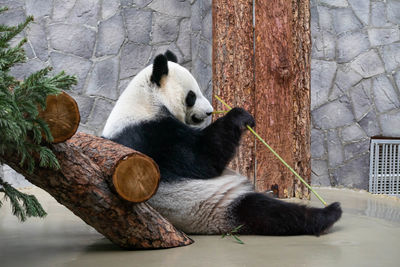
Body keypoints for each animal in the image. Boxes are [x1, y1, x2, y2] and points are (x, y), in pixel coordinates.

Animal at [102, 51, 340, 236]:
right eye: (191, 96)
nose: (209, 112)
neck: (144, 101)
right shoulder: (149, 134)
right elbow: (200, 158)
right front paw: (240, 115)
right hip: (213, 206)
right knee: (267, 213)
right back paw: (328, 214)